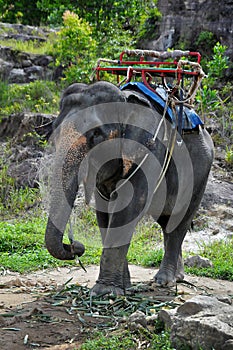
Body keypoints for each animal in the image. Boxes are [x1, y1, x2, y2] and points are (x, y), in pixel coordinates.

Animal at [43, 80, 215, 296]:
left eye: (96, 134)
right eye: (54, 132)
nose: (76, 246)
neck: (125, 102)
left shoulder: (149, 151)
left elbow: (128, 208)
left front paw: (105, 292)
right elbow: (104, 214)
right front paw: (123, 287)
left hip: (200, 171)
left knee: (178, 221)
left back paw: (164, 281)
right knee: (166, 221)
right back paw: (177, 276)